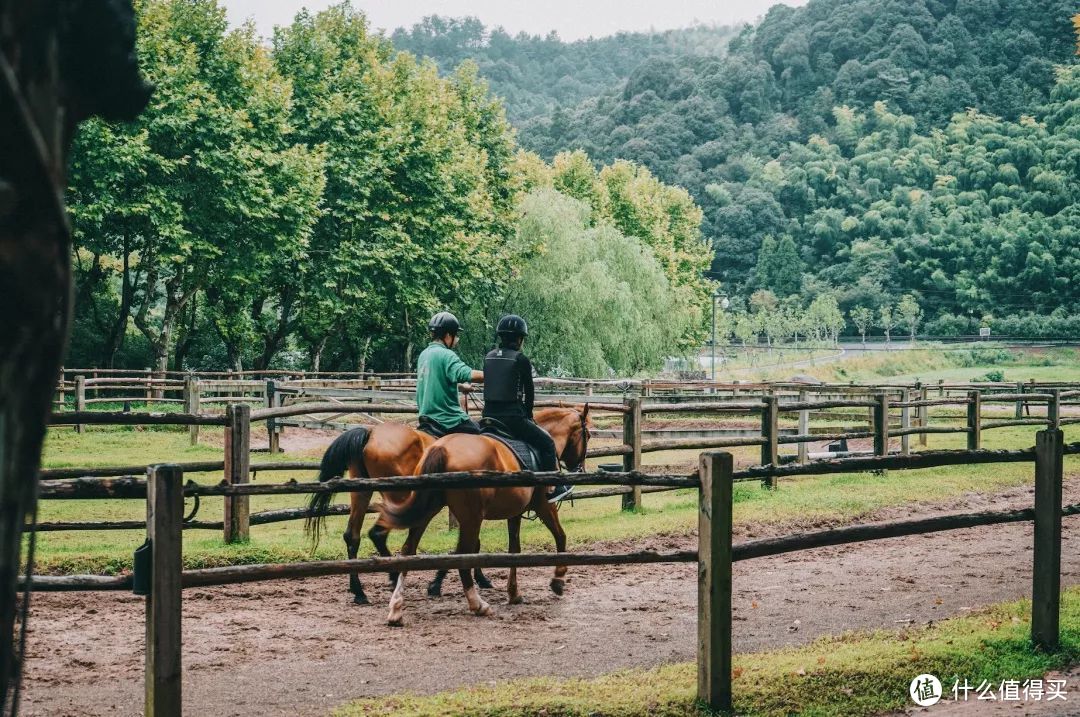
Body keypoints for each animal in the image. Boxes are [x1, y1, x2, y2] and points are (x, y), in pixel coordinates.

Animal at [378, 406, 591, 626]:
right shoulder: (544, 506)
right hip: (471, 518)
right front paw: (558, 580)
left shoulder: (515, 513)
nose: (580, 467)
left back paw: (396, 608)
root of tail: (442, 447)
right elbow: (560, 536)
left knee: (408, 549)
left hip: (429, 510)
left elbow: (514, 550)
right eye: (588, 435)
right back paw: (477, 604)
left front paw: (514, 593)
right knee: (462, 555)